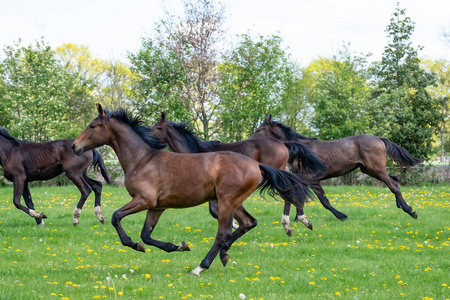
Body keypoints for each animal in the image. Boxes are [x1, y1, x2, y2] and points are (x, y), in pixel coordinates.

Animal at [149, 110, 326, 234]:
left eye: (157, 127)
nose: (146, 137)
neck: (196, 151)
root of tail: (283, 144)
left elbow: (215, 211)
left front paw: (234, 225)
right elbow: (215, 211)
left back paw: (291, 224)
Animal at [250, 114, 422, 220]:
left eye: (258, 129)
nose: (249, 140)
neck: (300, 151)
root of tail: (380, 139)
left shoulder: (313, 179)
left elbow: (324, 201)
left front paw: (341, 216)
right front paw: (298, 218)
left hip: (376, 169)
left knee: (393, 185)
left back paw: (410, 211)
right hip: (369, 170)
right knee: (394, 181)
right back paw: (402, 206)